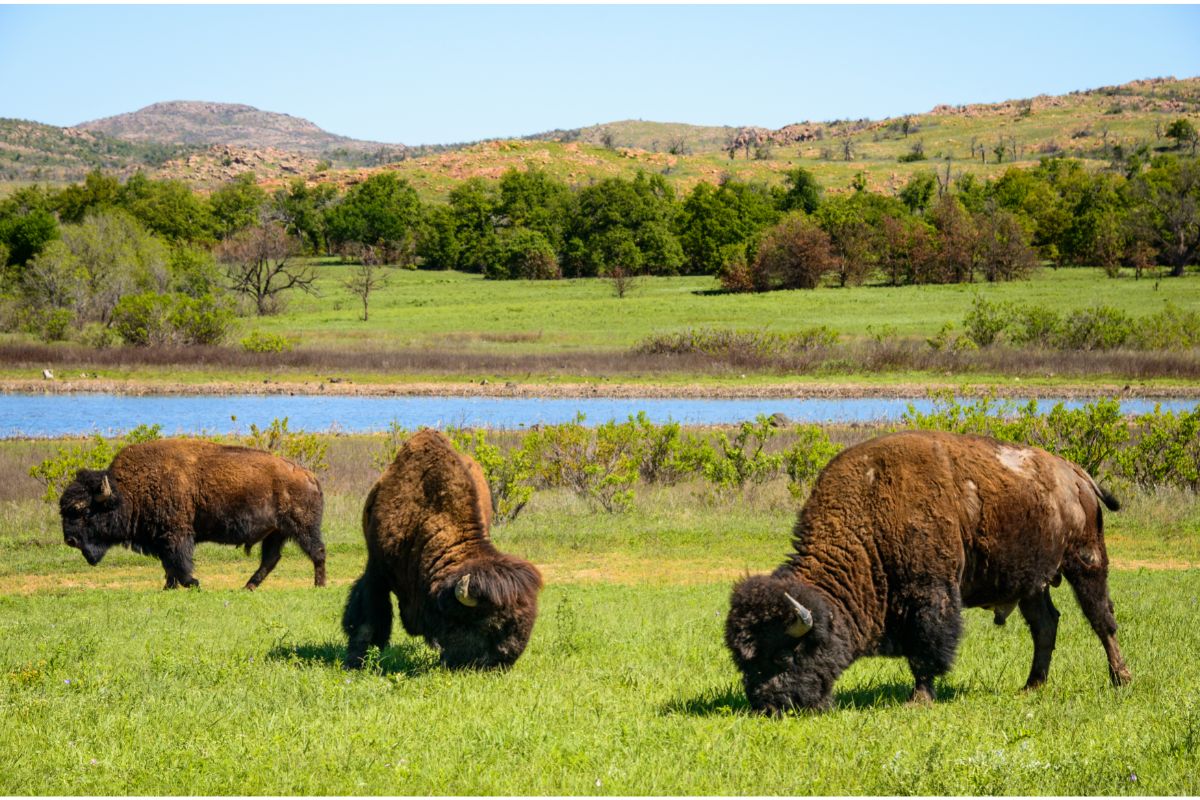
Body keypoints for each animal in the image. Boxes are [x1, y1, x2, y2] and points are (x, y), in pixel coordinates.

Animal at [58, 438, 326, 587]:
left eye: (83, 511)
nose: (70, 539)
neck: (128, 489)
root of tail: (309, 475)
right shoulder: (161, 538)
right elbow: (169, 565)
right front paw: (169, 587)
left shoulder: (175, 534)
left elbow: (179, 561)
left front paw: (193, 583)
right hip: (276, 533)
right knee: (271, 559)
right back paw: (248, 586)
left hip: (302, 529)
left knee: (317, 552)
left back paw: (319, 585)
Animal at [340, 431, 542, 671]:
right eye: (491, 625)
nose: (504, 661)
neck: (424, 517)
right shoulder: (377, 571)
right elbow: (369, 617)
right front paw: (356, 661)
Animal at [724, 431, 1128, 714]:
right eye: (743, 661)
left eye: (783, 656)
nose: (768, 706)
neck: (870, 514)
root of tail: (1075, 473)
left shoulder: (929, 595)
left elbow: (926, 649)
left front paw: (919, 698)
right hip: (1032, 583)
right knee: (1046, 625)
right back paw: (1032, 686)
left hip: (1086, 560)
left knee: (1101, 619)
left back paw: (1120, 679)